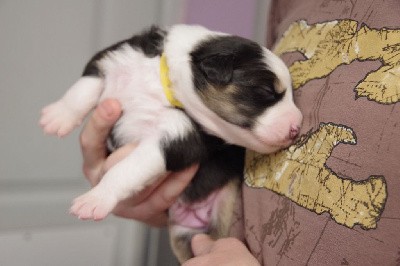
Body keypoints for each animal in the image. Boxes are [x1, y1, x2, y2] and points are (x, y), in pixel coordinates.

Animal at [41, 24, 304, 262]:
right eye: (266, 91)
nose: (298, 127)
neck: (165, 83)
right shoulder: (112, 60)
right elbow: (83, 89)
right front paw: (57, 117)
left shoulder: (175, 136)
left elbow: (124, 170)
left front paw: (95, 199)